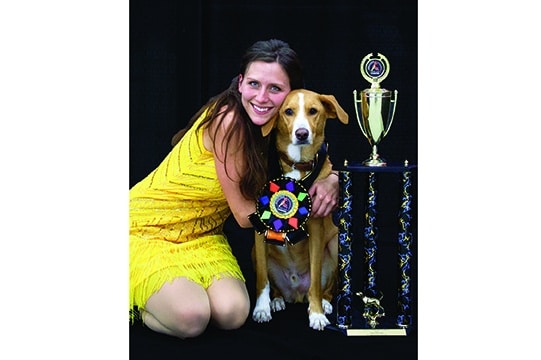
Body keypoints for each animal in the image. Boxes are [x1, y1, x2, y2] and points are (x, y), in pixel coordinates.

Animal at [251, 89, 348, 330]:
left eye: (313, 111)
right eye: (288, 111)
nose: (302, 133)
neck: (297, 166)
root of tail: (295, 294)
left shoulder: (316, 227)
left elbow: (315, 280)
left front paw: (317, 314)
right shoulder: (258, 226)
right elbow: (262, 280)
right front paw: (261, 309)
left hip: (335, 244)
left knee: (326, 287)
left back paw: (326, 303)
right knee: (275, 286)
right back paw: (276, 300)